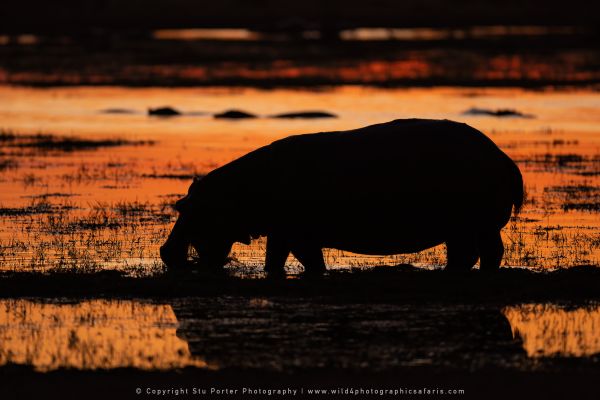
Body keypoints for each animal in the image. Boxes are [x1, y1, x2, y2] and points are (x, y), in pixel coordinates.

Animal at [162, 119, 524, 276]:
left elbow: (299, 258)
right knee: (471, 253)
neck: (236, 192)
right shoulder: (285, 232)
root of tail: (503, 157)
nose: (165, 251)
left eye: (185, 207)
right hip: (465, 227)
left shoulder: (294, 231)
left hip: (476, 225)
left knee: (484, 252)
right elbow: (280, 258)